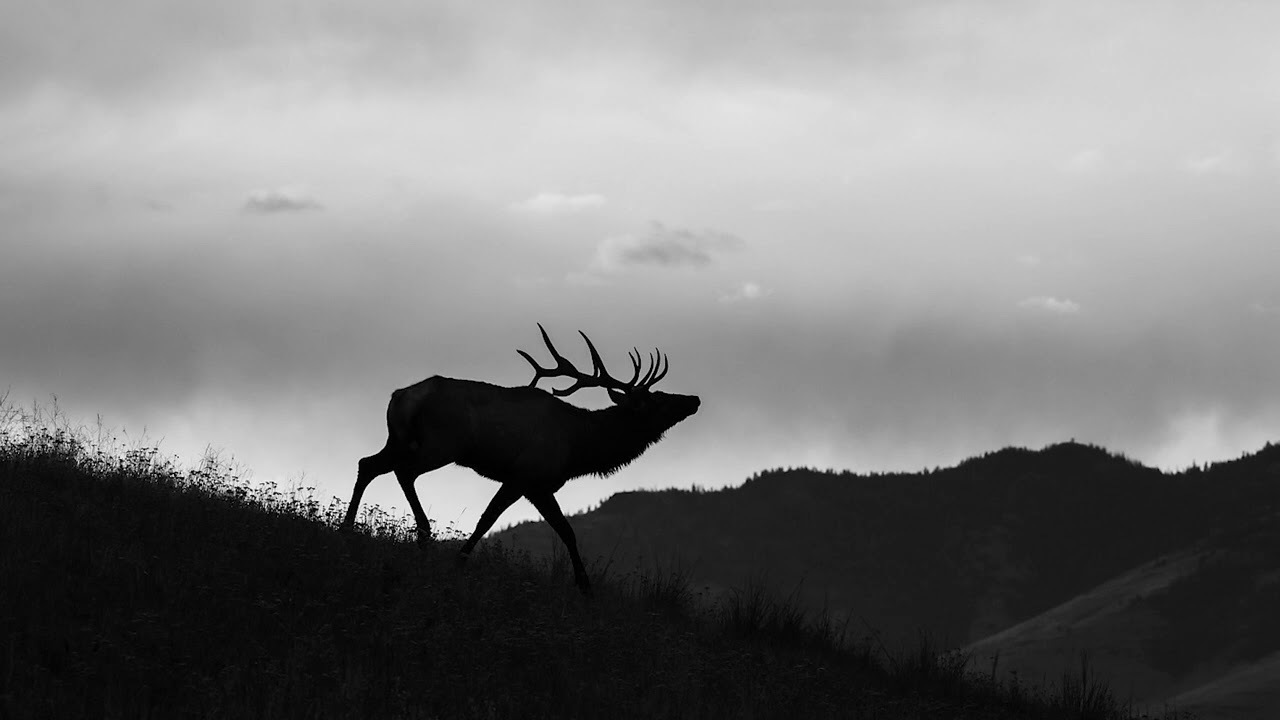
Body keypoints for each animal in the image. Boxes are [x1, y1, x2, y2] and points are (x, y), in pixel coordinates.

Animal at [339, 324, 700, 594]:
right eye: (658, 400)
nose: (694, 399)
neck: (579, 448)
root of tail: (399, 396)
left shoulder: (538, 485)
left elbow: (564, 530)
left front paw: (585, 586)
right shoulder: (525, 476)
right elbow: (490, 520)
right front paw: (459, 560)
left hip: (399, 440)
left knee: (367, 464)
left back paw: (346, 528)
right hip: (439, 444)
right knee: (404, 472)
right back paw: (424, 535)